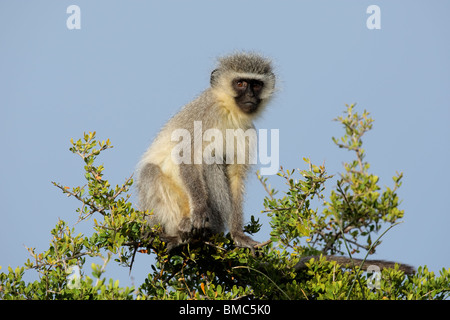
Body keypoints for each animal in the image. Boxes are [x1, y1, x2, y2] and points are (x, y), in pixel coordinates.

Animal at [137, 52, 276, 250]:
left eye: (256, 85)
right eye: (240, 83)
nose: (250, 95)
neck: (228, 111)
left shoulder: (247, 131)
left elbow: (235, 176)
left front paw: (238, 234)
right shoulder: (205, 115)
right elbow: (186, 156)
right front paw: (200, 211)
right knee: (150, 171)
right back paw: (180, 235)